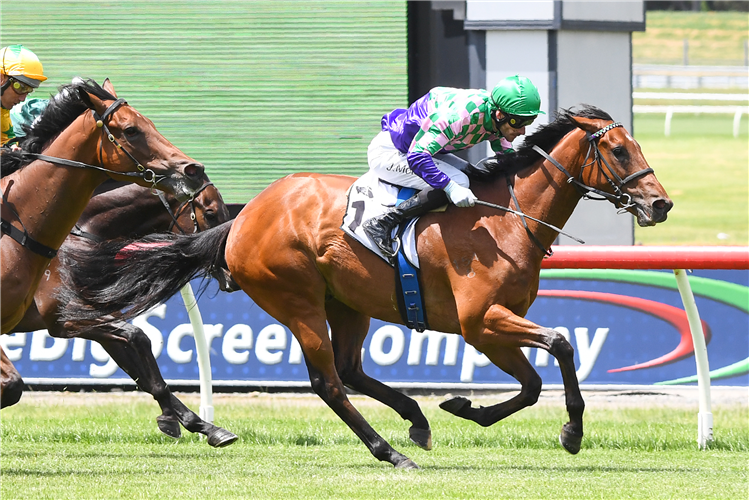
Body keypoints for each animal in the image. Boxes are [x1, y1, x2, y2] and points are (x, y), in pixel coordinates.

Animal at [8, 179, 235, 446]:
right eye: (210, 213)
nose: (231, 271)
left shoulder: (95, 326)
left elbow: (143, 375)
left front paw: (206, 427)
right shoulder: (65, 319)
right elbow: (140, 337)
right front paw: (171, 419)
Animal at [57, 105, 672, 468]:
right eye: (619, 150)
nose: (661, 203)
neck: (507, 219)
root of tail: (244, 217)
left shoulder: (492, 326)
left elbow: (532, 383)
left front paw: (463, 408)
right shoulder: (481, 322)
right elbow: (559, 350)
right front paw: (569, 431)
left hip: (347, 302)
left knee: (351, 370)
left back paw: (416, 420)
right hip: (297, 299)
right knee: (329, 381)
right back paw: (389, 450)